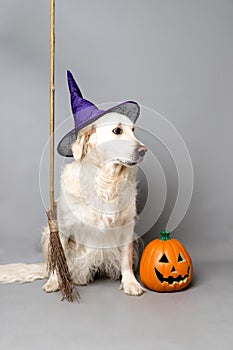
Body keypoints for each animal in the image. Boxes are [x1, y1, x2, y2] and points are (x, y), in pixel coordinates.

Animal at [0, 112, 147, 296]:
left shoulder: (127, 226)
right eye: (117, 130)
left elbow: (126, 259)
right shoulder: (62, 227)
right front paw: (54, 282)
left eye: (133, 130)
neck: (105, 181)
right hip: (48, 233)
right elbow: (58, 258)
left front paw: (130, 283)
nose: (144, 150)